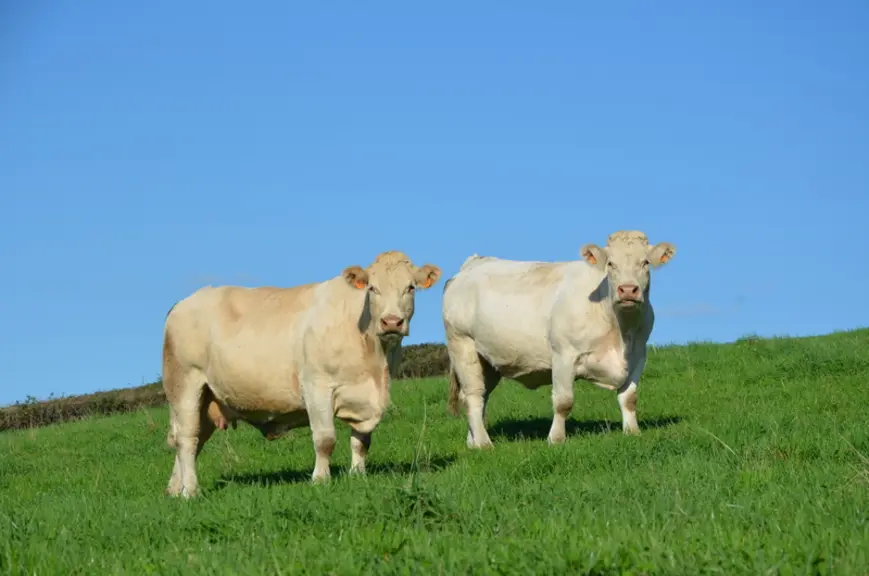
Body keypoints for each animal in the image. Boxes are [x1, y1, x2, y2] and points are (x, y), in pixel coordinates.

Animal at [162, 251, 442, 498]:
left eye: (410, 288)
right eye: (372, 288)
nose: (392, 322)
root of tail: (184, 302)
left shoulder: (366, 397)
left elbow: (361, 441)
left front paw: (357, 475)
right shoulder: (316, 386)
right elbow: (325, 439)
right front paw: (320, 479)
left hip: (208, 398)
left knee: (193, 439)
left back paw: (176, 489)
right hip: (185, 384)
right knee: (187, 439)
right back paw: (191, 492)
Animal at [442, 230, 676, 448]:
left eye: (645, 262)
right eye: (611, 264)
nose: (628, 290)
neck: (620, 331)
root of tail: (473, 263)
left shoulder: (638, 356)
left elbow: (629, 398)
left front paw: (632, 432)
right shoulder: (564, 355)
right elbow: (564, 401)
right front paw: (556, 439)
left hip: (488, 361)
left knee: (480, 397)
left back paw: (473, 442)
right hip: (462, 344)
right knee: (473, 396)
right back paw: (483, 444)